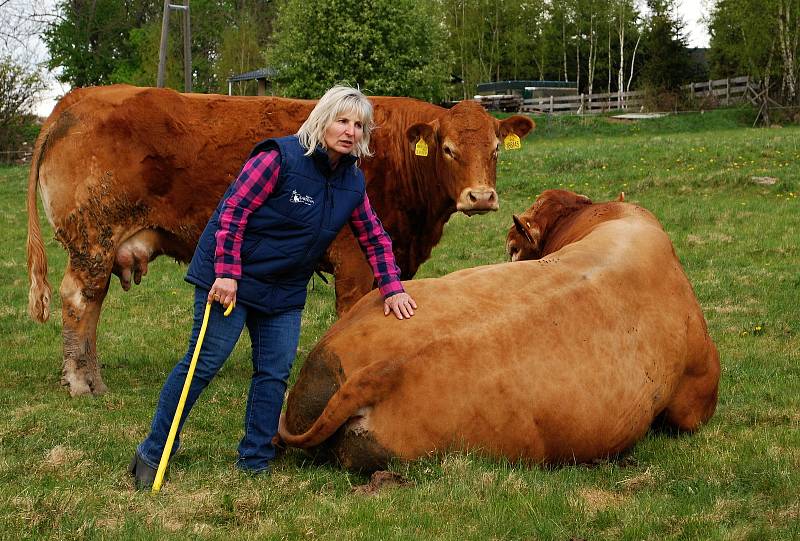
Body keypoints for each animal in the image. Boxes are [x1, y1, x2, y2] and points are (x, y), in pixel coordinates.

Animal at [28, 85, 536, 396]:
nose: (480, 196)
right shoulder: (353, 260)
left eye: (495, 149)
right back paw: (81, 381)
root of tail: (76, 99)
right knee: (80, 300)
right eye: (448, 149)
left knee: (91, 302)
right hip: (92, 239)